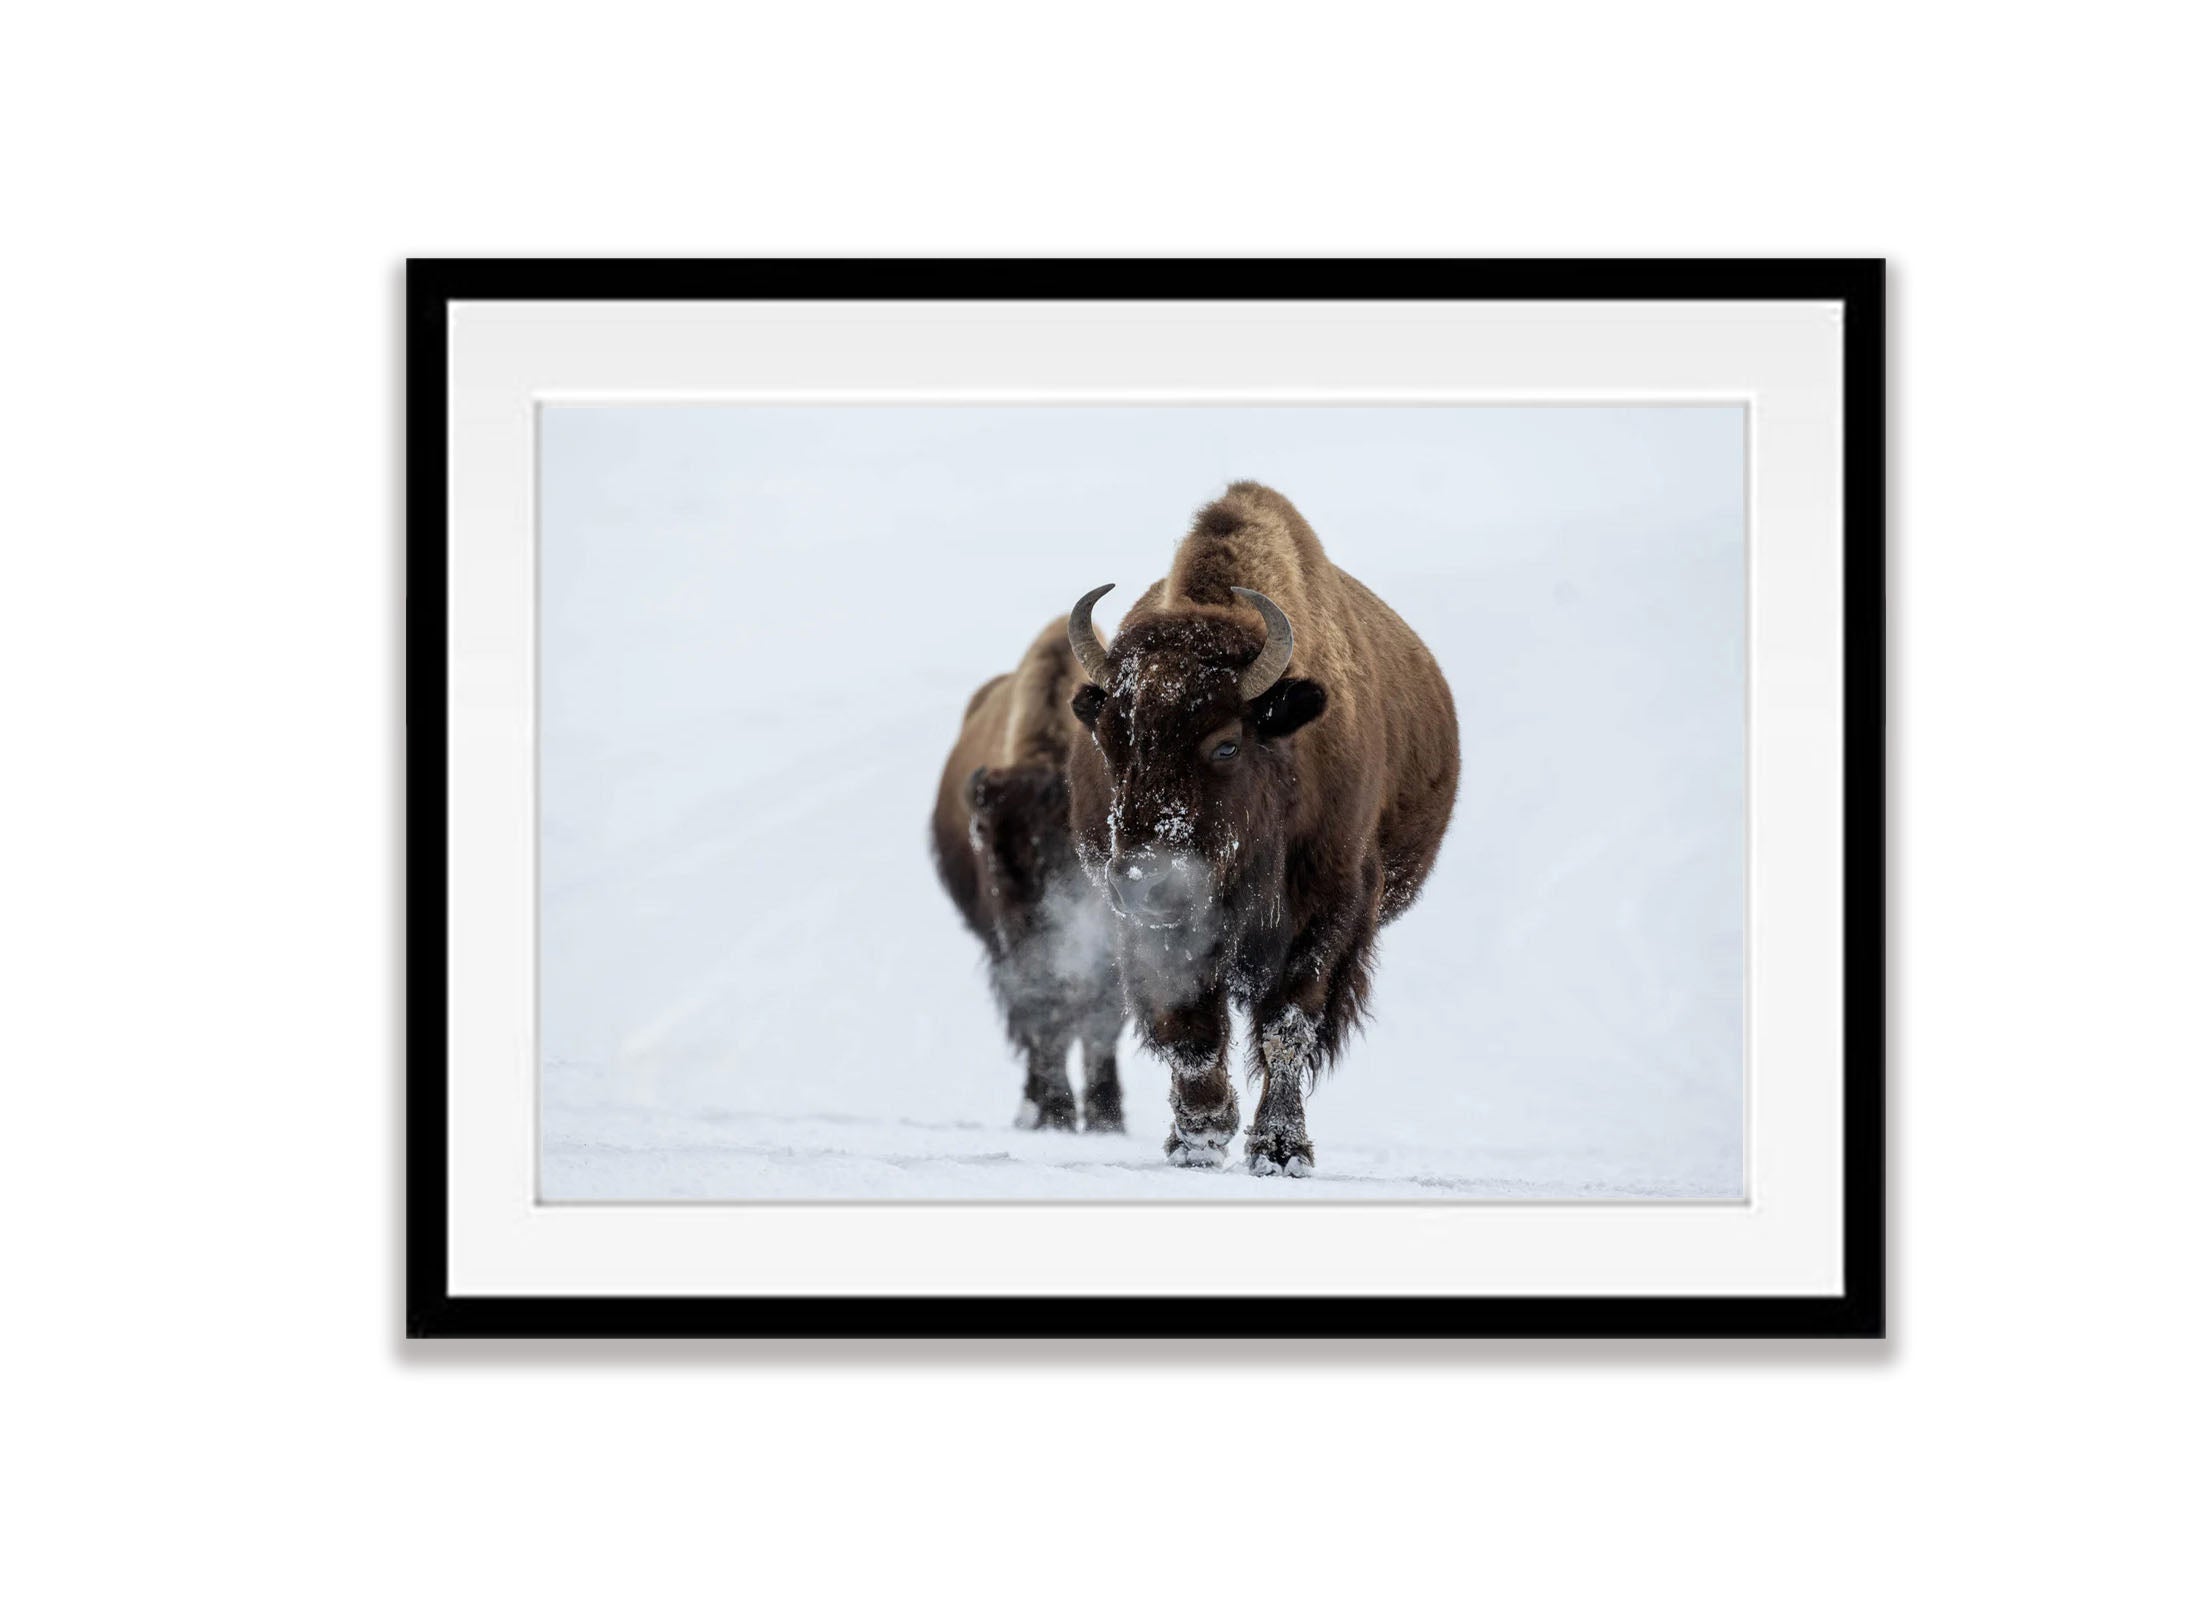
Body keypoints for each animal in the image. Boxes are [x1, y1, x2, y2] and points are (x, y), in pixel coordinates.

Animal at [932, 620, 1126, 1135]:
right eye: (986, 839)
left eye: (1086, 841)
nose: (1043, 908)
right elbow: (1045, 1013)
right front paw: (1057, 1112)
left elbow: (1102, 1017)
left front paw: (1106, 1118)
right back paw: (1036, 1107)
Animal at [1064, 481, 1460, 1170]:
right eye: (1111, 741)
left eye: (1226, 744)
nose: (1144, 878)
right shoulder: (1150, 929)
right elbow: (1188, 1023)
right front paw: (1200, 1135)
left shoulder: (1328, 911)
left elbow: (1287, 1026)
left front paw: (1281, 1149)